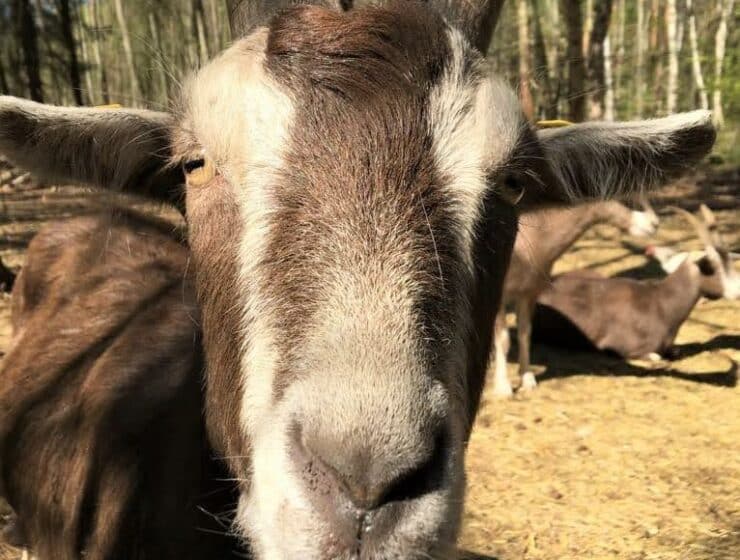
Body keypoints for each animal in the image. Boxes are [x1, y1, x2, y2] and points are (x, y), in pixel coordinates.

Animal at [492, 199, 660, 396]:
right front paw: (503, 388)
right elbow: (504, 339)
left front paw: (528, 380)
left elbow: (524, 334)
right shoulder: (500, 297)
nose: (654, 224)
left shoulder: (528, 293)